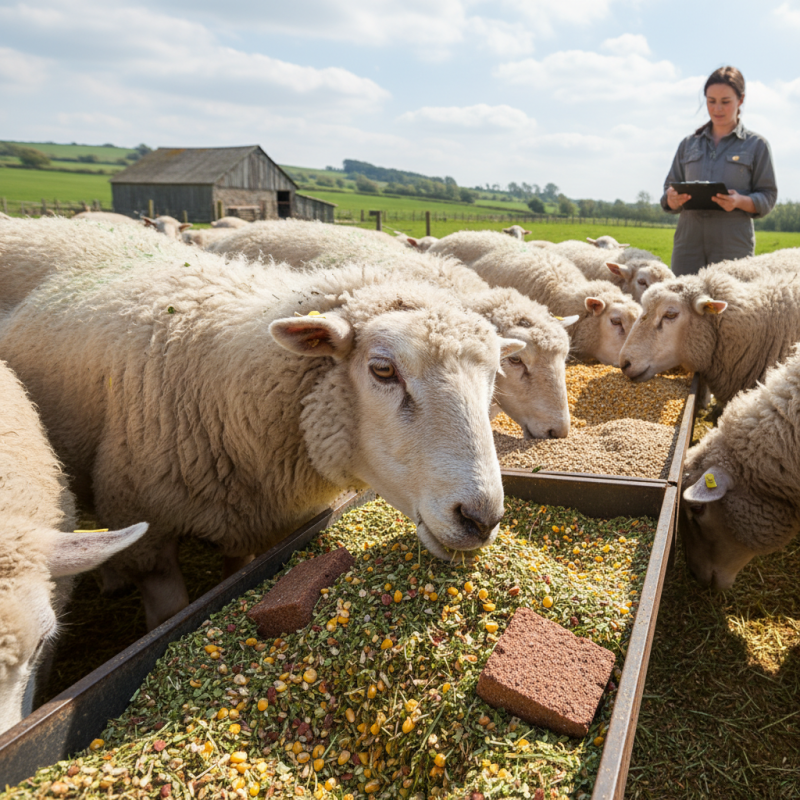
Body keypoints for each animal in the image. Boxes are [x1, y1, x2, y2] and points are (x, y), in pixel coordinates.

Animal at [0, 222, 524, 630]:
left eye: (494, 375)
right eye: (382, 370)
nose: (480, 519)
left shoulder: (251, 520)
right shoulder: (147, 529)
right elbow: (170, 610)